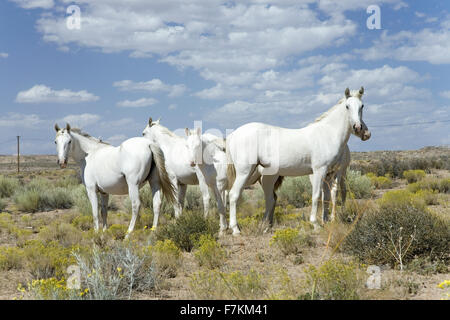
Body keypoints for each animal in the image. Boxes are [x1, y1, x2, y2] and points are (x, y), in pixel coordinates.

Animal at [227, 87, 370, 235]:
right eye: (347, 106)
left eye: (362, 106)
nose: (359, 128)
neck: (327, 134)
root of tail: (234, 134)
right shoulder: (319, 171)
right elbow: (316, 196)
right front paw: (315, 224)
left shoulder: (328, 174)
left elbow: (326, 197)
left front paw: (325, 222)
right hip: (245, 172)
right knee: (233, 195)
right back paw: (235, 229)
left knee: (269, 199)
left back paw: (265, 227)